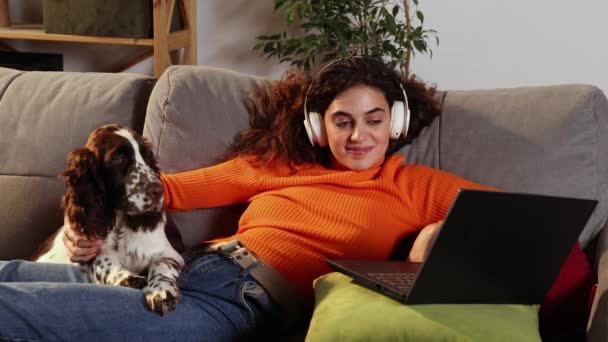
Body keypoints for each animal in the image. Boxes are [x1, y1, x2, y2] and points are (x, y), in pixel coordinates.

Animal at [33, 123, 184, 316]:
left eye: (147, 157)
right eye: (118, 158)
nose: (158, 191)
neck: (120, 224)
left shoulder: (169, 253)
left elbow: (161, 265)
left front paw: (161, 291)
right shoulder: (88, 250)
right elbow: (103, 260)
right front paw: (127, 277)